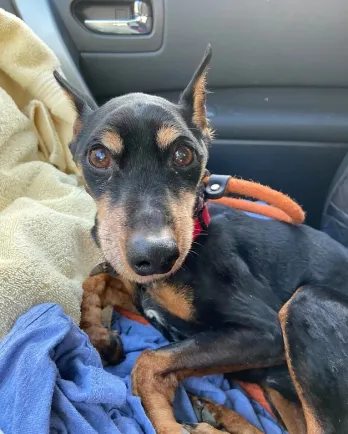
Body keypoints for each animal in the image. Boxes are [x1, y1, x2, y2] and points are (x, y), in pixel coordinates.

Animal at [54, 47, 348, 434]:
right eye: (99, 156)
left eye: (184, 154)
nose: (156, 256)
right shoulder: (140, 290)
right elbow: (95, 279)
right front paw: (99, 336)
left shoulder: (264, 332)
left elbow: (147, 363)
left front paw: (167, 423)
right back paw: (216, 414)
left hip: (305, 305)